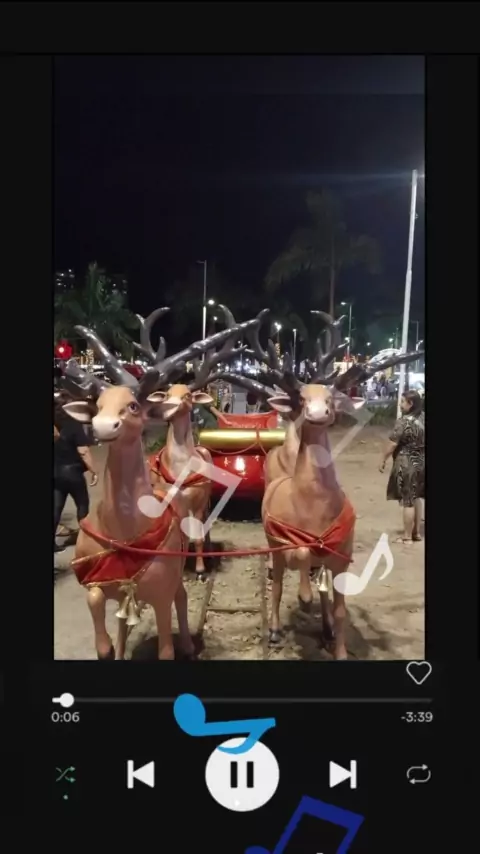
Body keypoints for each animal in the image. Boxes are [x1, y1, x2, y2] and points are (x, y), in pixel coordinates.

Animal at [59, 317, 259, 660]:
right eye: (97, 405)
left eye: (133, 405)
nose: (103, 426)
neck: (125, 535)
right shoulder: (98, 580)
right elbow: (99, 610)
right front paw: (109, 649)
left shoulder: (163, 582)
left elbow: (166, 645)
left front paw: (202, 570)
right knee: (123, 619)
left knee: (182, 593)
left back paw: (189, 642)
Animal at [144, 305, 268, 580]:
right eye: (166, 395)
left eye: (188, 396)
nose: (166, 410)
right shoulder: (171, 500)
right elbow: (179, 534)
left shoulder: (199, 500)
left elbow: (199, 534)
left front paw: (201, 570)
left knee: (207, 527)